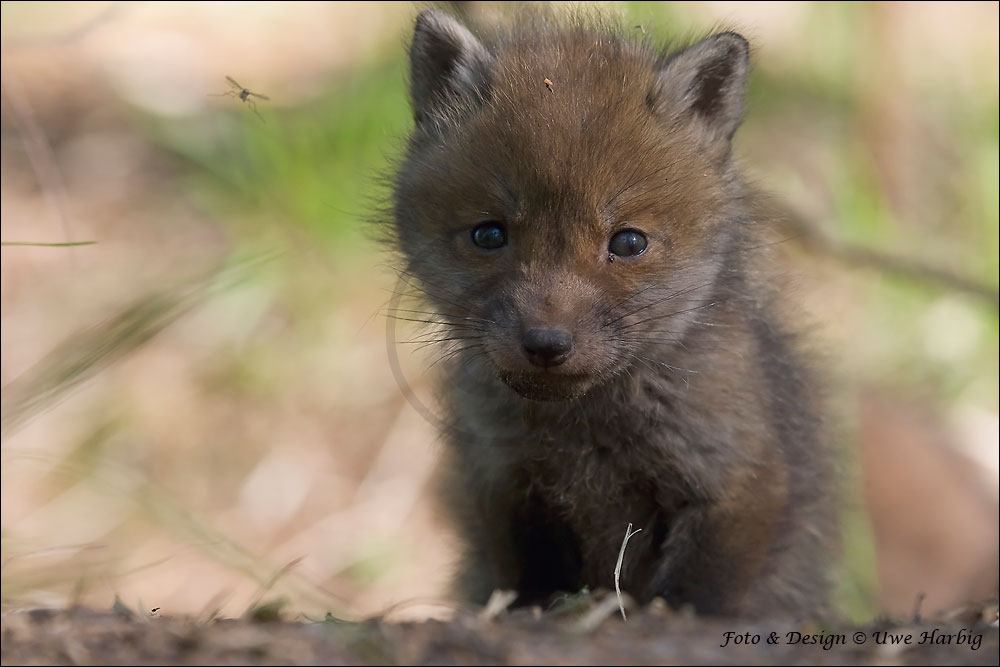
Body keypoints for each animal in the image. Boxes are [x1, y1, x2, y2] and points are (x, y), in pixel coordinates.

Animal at [389, 7, 838, 618]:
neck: (584, 433)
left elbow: (696, 597)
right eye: (488, 235)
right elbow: (529, 589)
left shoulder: (735, 479)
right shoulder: (506, 485)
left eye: (627, 243)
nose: (546, 342)